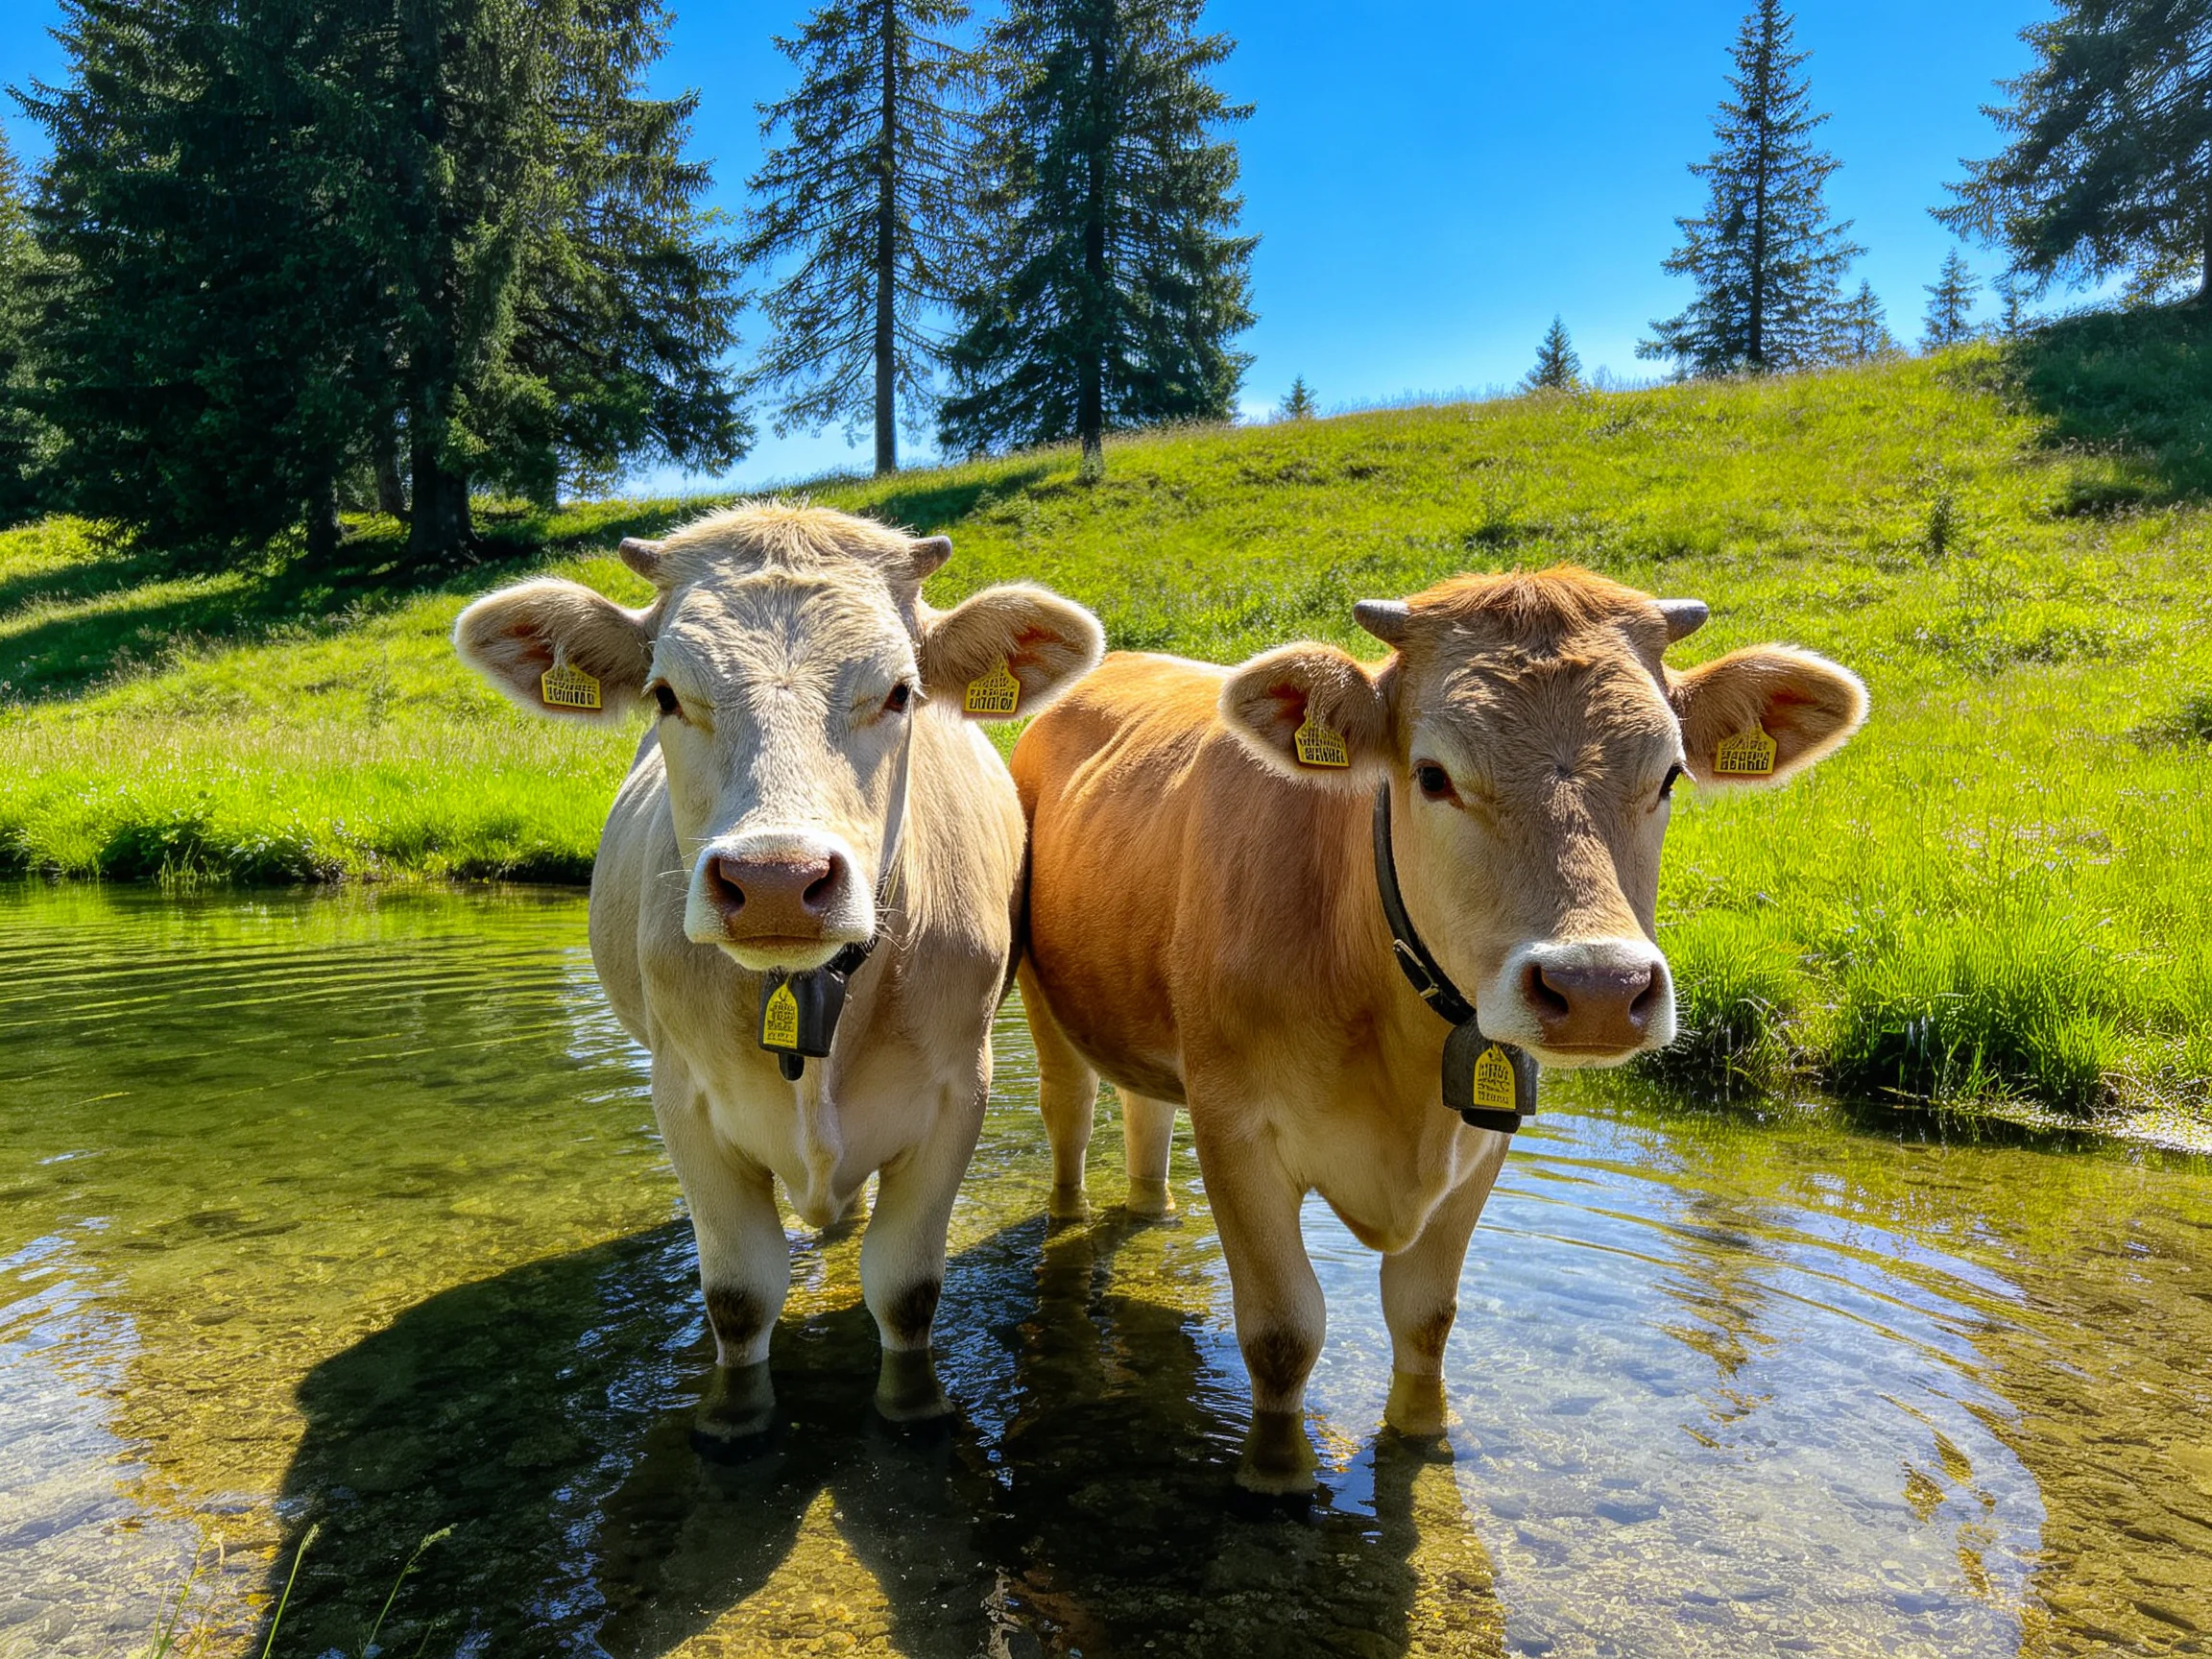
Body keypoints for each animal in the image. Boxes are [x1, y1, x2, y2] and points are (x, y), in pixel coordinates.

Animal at [453, 504, 1103, 1440]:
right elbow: (738, 1296)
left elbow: (906, 1290)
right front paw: (735, 1418)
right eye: (665, 694)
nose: (774, 879)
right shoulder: (683, 1100)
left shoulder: (957, 1093)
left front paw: (912, 1406)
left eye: (900, 692)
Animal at [1012, 566, 1866, 1495]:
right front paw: (1277, 1474)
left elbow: (1425, 1315)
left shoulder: (1482, 1139)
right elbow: (1282, 1330)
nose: (1599, 986)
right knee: (1068, 1118)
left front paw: (1423, 1437)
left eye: (1671, 775)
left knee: (1144, 1115)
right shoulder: (1237, 1128)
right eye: (1431, 775)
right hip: (1043, 999)